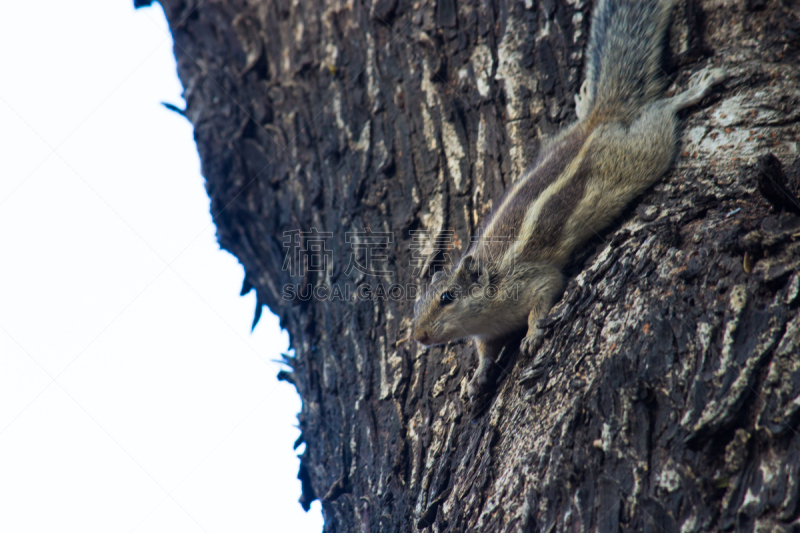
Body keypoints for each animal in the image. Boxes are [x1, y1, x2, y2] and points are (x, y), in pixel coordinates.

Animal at [412, 0, 724, 402]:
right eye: (418, 304)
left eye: (448, 297)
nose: (419, 336)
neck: (492, 290)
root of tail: (599, 120)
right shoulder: (487, 332)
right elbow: (484, 351)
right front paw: (478, 376)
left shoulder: (532, 280)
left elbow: (544, 296)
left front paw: (531, 335)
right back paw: (583, 99)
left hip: (642, 154)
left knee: (662, 114)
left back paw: (692, 92)